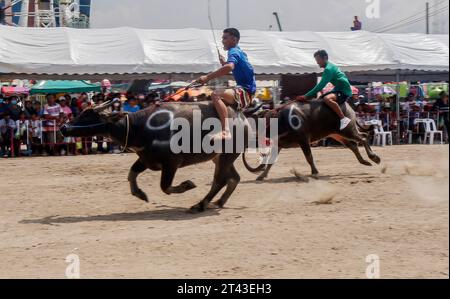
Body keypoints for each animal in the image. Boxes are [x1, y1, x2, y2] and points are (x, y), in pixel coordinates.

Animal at [244, 99, 382, 182]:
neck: (279, 119)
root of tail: (349, 106)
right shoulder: (278, 144)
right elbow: (270, 162)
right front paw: (261, 176)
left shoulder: (303, 140)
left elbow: (309, 157)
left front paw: (315, 172)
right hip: (337, 134)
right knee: (354, 145)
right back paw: (365, 161)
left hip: (348, 130)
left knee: (363, 137)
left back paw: (374, 157)